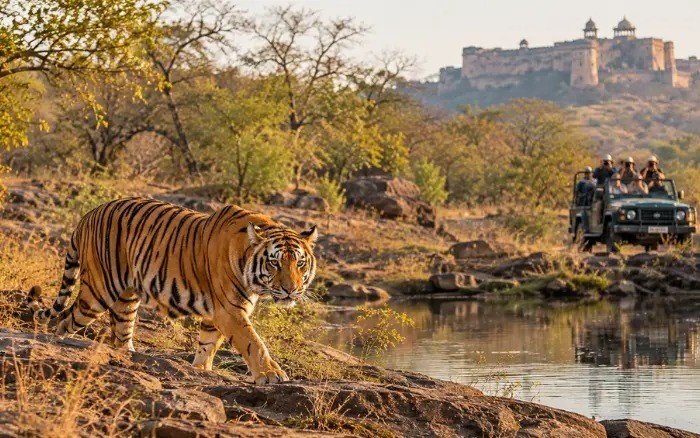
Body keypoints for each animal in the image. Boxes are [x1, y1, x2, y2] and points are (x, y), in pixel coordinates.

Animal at [27, 197, 318, 384]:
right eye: (275, 262)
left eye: (300, 263)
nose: (291, 290)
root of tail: (87, 215)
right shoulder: (230, 310)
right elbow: (253, 342)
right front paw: (271, 374)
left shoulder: (216, 314)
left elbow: (208, 344)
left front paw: (201, 370)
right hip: (97, 292)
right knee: (65, 320)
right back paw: (60, 345)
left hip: (127, 296)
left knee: (121, 331)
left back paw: (127, 356)